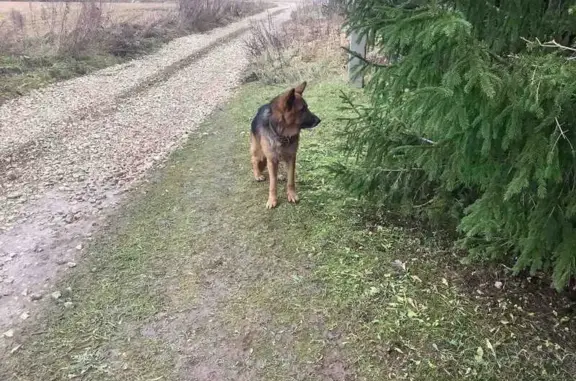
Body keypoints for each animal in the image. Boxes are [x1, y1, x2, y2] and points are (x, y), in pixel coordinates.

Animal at [250, 80, 322, 209]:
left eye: (307, 107)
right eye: (302, 109)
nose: (319, 120)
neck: (282, 135)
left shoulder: (291, 158)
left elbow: (290, 180)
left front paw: (292, 194)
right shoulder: (272, 158)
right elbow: (272, 184)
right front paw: (272, 199)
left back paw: (278, 175)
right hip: (259, 151)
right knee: (254, 160)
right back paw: (258, 174)